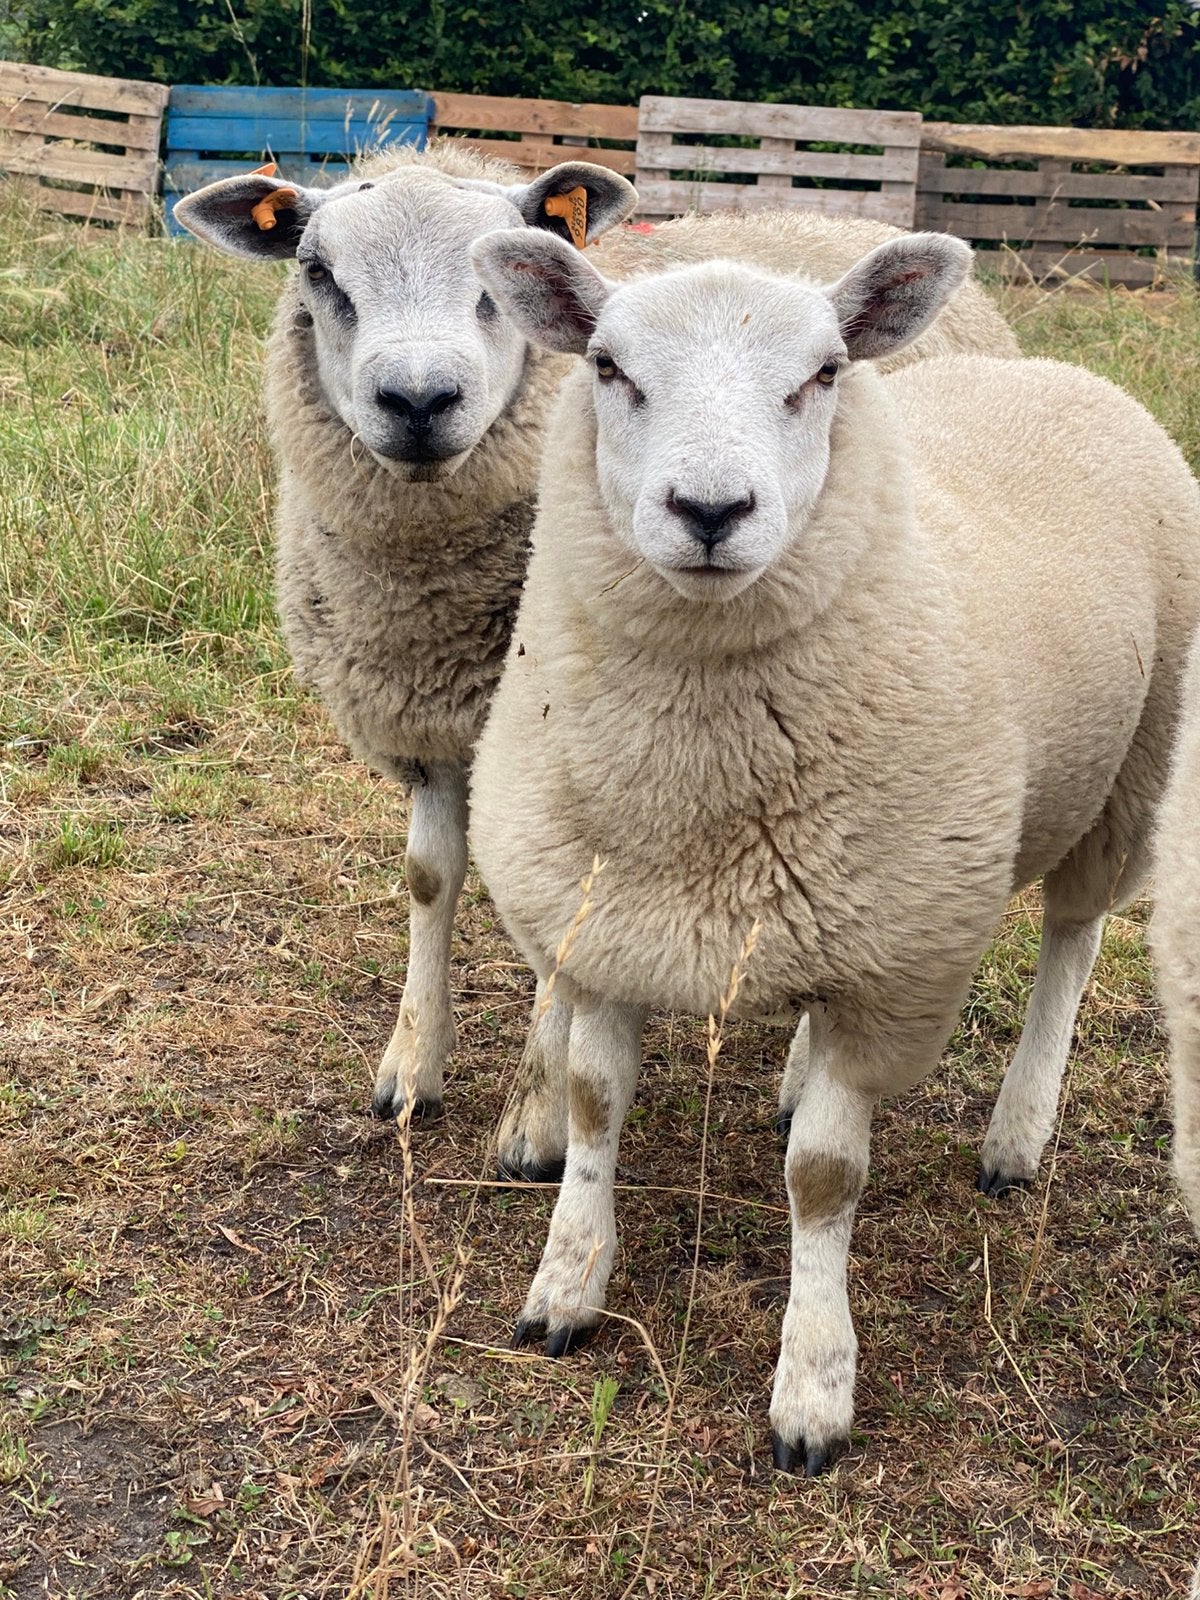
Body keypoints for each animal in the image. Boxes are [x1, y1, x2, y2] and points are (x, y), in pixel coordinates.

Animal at [174, 141, 1019, 1141]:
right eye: (318, 272)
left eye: (492, 280)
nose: (418, 400)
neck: (434, 595)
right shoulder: (435, 726)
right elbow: (429, 878)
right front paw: (412, 1066)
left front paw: (537, 1115)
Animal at [465, 225, 1200, 1473]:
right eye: (608, 367)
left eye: (820, 375)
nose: (711, 509)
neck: (697, 791)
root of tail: (1062, 372)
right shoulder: (605, 925)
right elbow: (594, 1104)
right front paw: (565, 1286)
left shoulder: (892, 974)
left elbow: (822, 1177)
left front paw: (813, 1385)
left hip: (1133, 774)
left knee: (1073, 935)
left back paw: (1016, 1133)